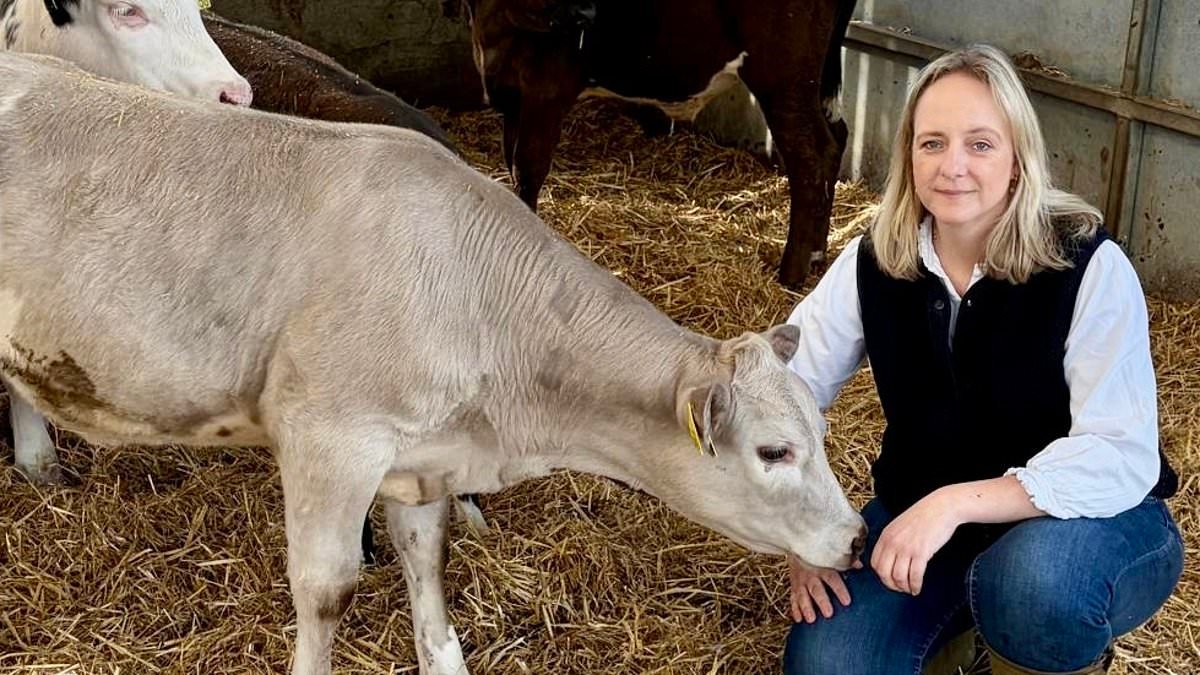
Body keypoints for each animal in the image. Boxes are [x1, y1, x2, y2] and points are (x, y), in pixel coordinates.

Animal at [0, 52, 867, 675]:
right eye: (774, 451)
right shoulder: (328, 437)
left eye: (821, 433)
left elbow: (429, 576)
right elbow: (326, 591)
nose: (858, 538)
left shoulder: (419, 459)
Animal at [450, 0, 857, 289]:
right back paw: (816, 256)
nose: (587, 13)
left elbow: (528, 171)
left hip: (783, 79)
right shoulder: (512, 97)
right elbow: (512, 166)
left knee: (811, 157)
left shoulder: (546, 91)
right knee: (835, 140)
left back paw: (790, 273)